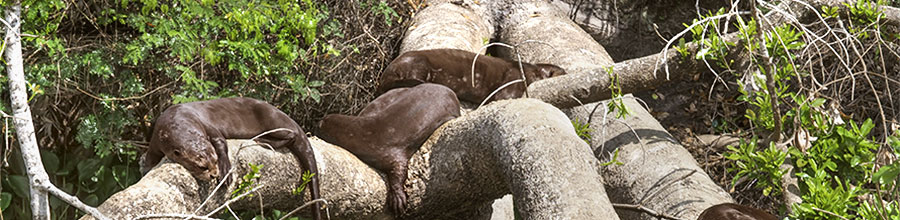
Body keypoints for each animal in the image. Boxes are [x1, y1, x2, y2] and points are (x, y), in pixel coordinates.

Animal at [139, 98, 322, 220]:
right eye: (202, 167)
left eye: (214, 161)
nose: (213, 174)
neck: (177, 118)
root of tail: (290, 119)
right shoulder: (157, 137)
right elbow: (150, 157)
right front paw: (145, 169)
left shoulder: (205, 125)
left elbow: (221, 142)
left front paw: (225, 170)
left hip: (274, 121)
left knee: (292, 134)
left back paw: (262, 140)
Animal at [314, 84, 458, 217]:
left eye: (321, 122)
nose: (317, 123)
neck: (364, 134)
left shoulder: (391, 151)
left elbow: (399, 171)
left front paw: (398, 199)